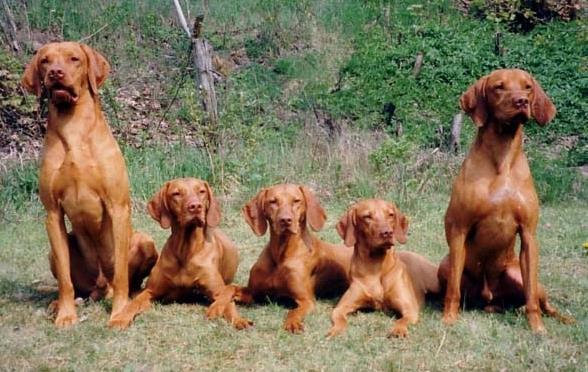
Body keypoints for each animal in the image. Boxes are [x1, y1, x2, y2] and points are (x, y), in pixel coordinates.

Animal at [22, 42, 157, 326]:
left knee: (123, 280)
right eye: (45, 61)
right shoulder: (52, 214)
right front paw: (65, 315)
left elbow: (121, 275)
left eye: (74, 59)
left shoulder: (118, 207)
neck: (73, 129)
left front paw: (120, 313)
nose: (56, 73)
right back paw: (61, 303)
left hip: (144, 241)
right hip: (56, 254)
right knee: (79, 285)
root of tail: (100, 287)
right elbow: (64, 280)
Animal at [109, 179, 252, 330]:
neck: (186, 250)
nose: (196, 206)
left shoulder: (218, 290)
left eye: (202, 191)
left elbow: (227, 303)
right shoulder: (151, 291)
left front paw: (239, 320)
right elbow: (135, 303)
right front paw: (121, 318)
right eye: (176, 193)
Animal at [235, 185, 354, 332]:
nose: (285, 220)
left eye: (296, 201)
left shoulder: (306, 300)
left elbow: (293, 311)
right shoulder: (254, 292)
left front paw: (292, 323)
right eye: (273, 201)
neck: (280, 256)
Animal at [326, 199, 440, 338]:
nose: (387, 233)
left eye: (390, 215)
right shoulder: (341, 307)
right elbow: (340, 318)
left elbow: (401, 320)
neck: (376, 266)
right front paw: (336, 330)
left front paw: (398, 330)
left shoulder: (410, 309)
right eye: (367, 216)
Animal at [440, 68, 576, 332]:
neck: (501, 158)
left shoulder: (529, 234)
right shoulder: (459, 229)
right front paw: (449, 318)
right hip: (445, 264)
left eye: (527, 87)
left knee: (542, 301)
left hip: (517, 272)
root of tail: (489, 297)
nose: (521, 101)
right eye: (499, 87)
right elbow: (453, 288)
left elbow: (531, 295)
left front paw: (537, 327)